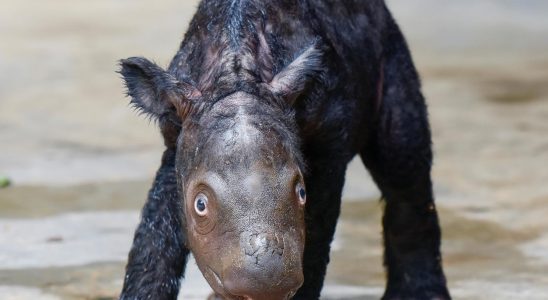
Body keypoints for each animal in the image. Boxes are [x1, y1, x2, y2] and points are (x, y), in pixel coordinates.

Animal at [119, 0, 450, 300]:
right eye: (200, 205)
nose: (264, 285)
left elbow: (316, 241)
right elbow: (153, 239)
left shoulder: (329, 146)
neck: (237, 74)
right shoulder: (176, 140)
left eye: (301, 192)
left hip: (392, 55)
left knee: (404, 170)